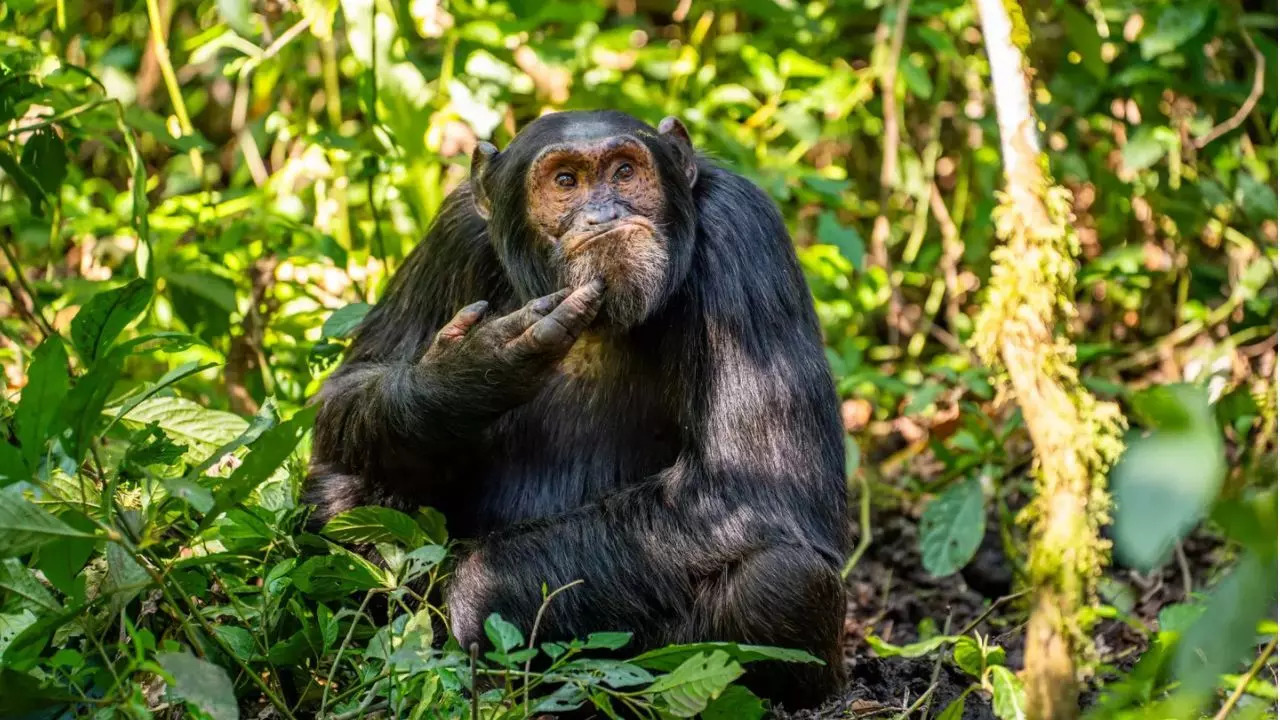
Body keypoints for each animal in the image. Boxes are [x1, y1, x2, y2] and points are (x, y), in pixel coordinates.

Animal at [304, 109, 849, 702]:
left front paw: (480, 594)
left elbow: (754, 481)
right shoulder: (453, 232)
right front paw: (465, 374)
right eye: (565, 181)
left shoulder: (743, 232)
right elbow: (349, 385)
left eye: (624, 171)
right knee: (343, 489)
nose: (603, 213)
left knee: (782, 579)